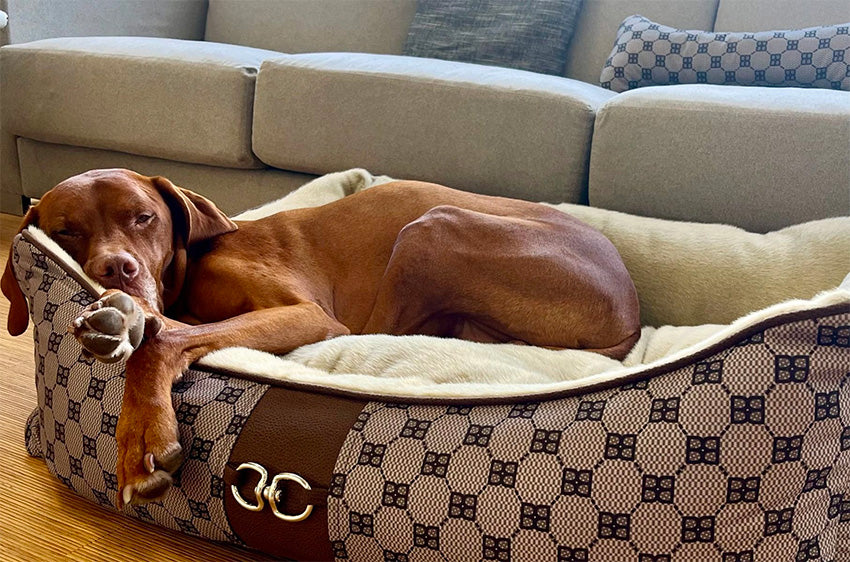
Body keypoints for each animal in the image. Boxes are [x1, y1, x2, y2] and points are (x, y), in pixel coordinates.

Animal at [0, 168, 636, 506]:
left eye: (143, 217)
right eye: (66, 231)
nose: (117, 270)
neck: (194, 263)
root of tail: (631, 311)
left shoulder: (310, 314)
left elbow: (169, 335)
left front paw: (141, 437)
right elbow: (175, 325)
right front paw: (125, 316)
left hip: (434, 227)